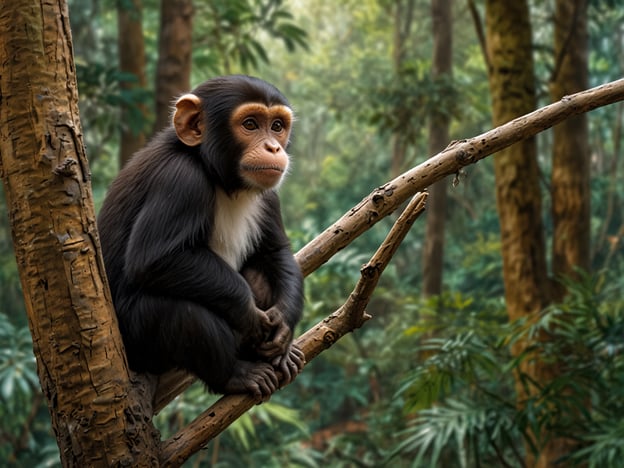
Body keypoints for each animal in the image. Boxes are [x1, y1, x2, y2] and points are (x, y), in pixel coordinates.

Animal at [96, 74, 306, 398]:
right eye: (250, 124)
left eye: (277, 126)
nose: (273, 147)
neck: (219, 175)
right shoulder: (181, 181)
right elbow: (155, 258)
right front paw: (249, 313)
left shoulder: (269, 195)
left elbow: (275, 252)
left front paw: (284, 320)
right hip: (140, 345)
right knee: (182, 312)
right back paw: (236, 374)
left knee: (260, 273)